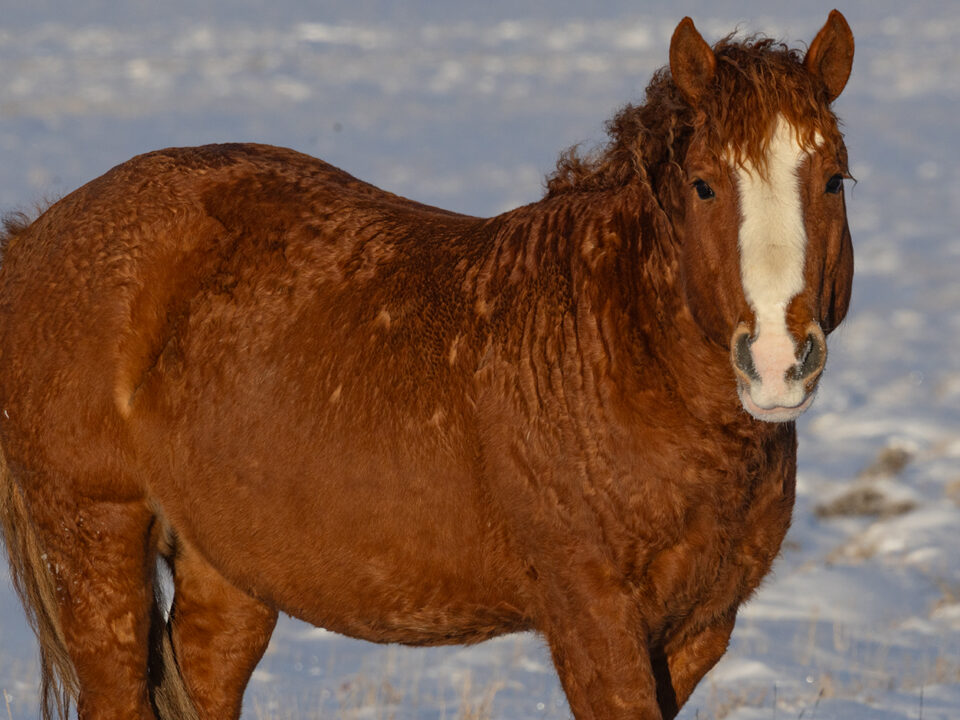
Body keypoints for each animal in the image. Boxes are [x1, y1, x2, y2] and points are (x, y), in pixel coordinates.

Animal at [0, 12, 856, 720]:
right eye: (705, 185)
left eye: (834, 179)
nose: (778, 361)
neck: (620, 356)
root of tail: (36, 235)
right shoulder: (592, 616)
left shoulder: (700, 628)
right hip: (95, 535)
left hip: (226, 570)